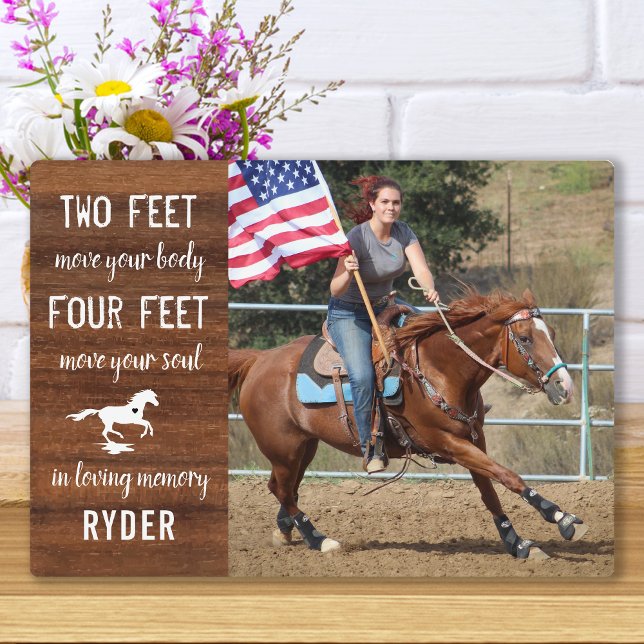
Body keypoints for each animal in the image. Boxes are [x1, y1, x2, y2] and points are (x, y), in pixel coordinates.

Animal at [228, 288, 588, 560]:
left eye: (552, 334)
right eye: (525, 339)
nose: (566, 387)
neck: (439, 369)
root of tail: (258, 360)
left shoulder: (474, 439)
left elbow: (489, 491)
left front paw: (517, 542)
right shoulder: (449, 443)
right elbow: (508, 476)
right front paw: (561, 517)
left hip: (304, 446)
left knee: (284, 488)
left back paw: (286, 531)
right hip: (284, 448)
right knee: (281, 488)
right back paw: (320, 539)